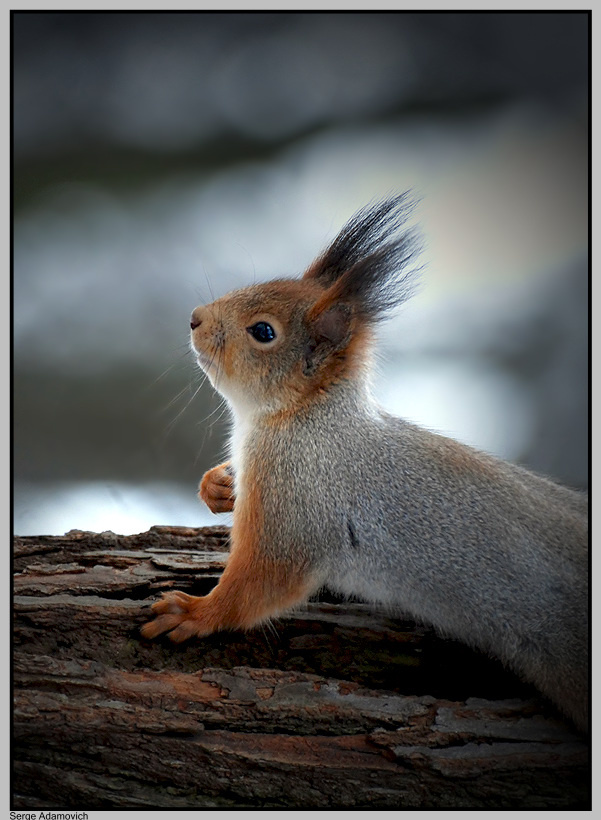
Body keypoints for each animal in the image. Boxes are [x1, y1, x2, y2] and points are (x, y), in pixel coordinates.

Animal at [141, 194, 589, 732]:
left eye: (263, 331)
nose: (194, 318)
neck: (303, 416)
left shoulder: (300, 495)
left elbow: (263, 579)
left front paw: (196, 613)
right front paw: (218, 485)